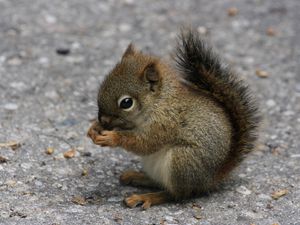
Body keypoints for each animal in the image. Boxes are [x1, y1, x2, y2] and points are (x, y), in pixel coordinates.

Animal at [86, 29, 260, 209]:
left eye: (126, 103)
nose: (103, 119)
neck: (159, 102)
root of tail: (211, 179)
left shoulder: (165, 123)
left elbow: (145, 143)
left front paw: (112, 137)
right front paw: (94, 128)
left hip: (182, 161)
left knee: (176, 194)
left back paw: (147, 197)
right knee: (159, 183)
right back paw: (137, 177)